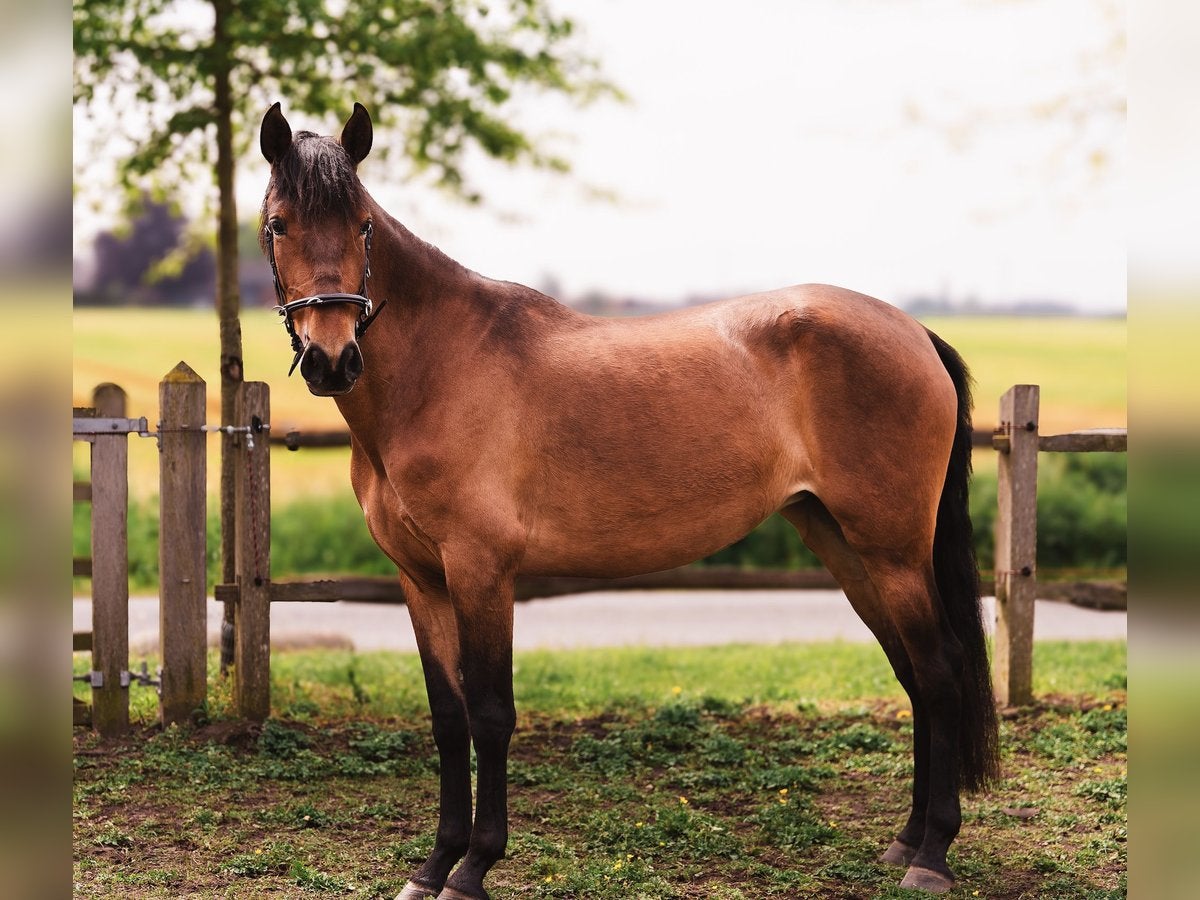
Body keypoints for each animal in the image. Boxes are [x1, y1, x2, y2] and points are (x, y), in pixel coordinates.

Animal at [258, 101, 999, 899]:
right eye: (277, 224)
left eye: (363, 224)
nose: (333, 359)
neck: (438, 367)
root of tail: (913, 331)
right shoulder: (420, 580)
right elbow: (449, 717)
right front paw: (432, 867)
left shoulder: (482, 572)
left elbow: (491, 714)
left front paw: (475, 866)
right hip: (844, 545)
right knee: (914, 673)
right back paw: (907, 840)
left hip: (891, 550)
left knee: (940, 670)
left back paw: (931, 856)